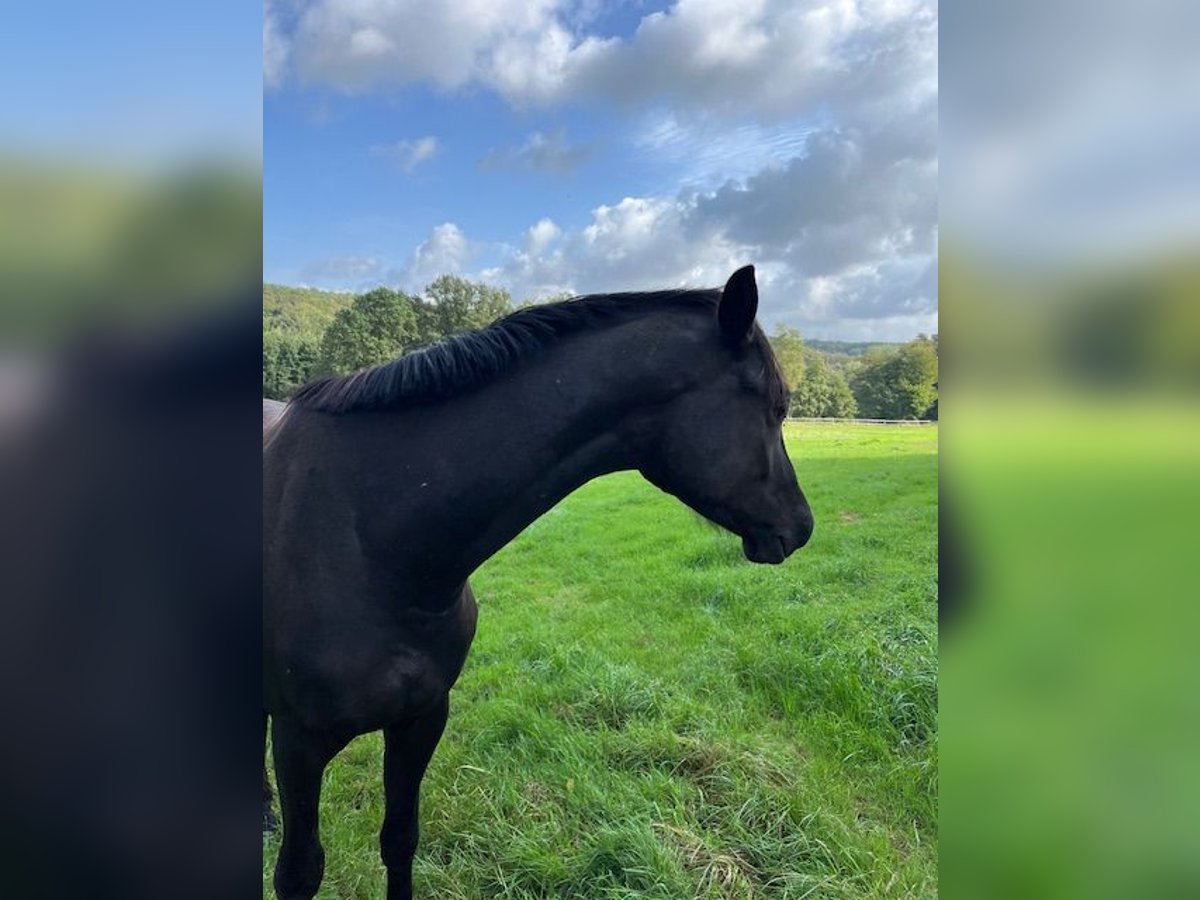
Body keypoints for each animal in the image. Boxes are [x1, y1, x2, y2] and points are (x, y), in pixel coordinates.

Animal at [262, 267, 816, 900]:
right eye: (776, 407)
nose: (801, 526)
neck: (370, 541)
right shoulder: (300, 743)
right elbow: (299, 872)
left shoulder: (420, 720)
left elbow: (399, 839)